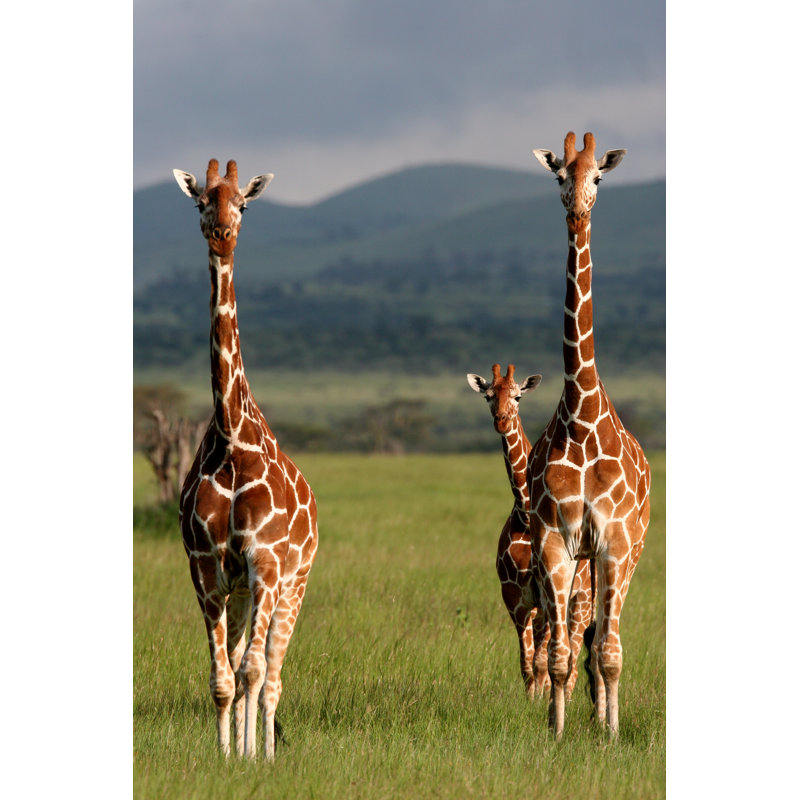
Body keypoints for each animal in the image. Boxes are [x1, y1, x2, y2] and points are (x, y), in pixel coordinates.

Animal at [466, 364, 594, 702]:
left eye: (518, 396)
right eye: (488, 395)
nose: (501, 420)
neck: (524, 515)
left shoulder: (548, 593)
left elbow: (541, 658)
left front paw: (543, 700)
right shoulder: (515, 597)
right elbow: (526, 660)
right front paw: (531, 699)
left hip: (582, 600)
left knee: (574, 650)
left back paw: (567, 696)